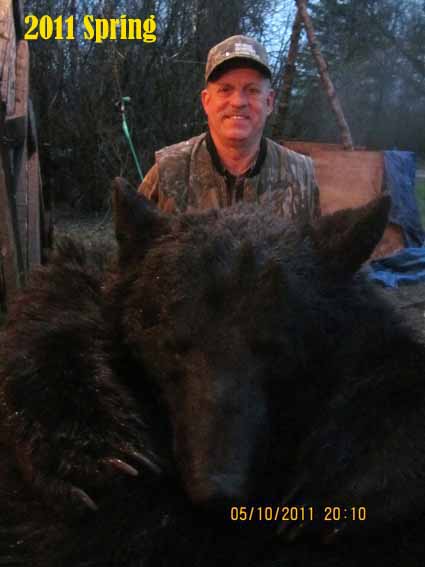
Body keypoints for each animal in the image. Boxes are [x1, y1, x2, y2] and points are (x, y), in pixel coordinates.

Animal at [0, 179, 422, 567]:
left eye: (277, 350)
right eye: (172, 344)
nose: (217, 489)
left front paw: (335, 485)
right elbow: (57, 309)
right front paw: (98, 451)